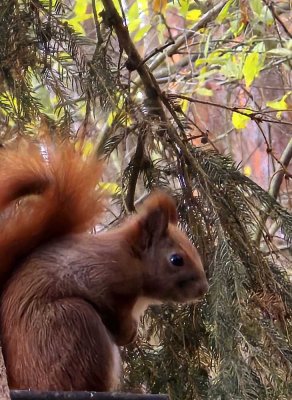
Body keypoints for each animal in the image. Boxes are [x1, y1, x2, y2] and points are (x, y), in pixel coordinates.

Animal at [0, 137, 208, 390]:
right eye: (176, 260)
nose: (204, 289)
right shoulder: (97, 277)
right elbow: (112, 310)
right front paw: (128, 333)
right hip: (72, 324)